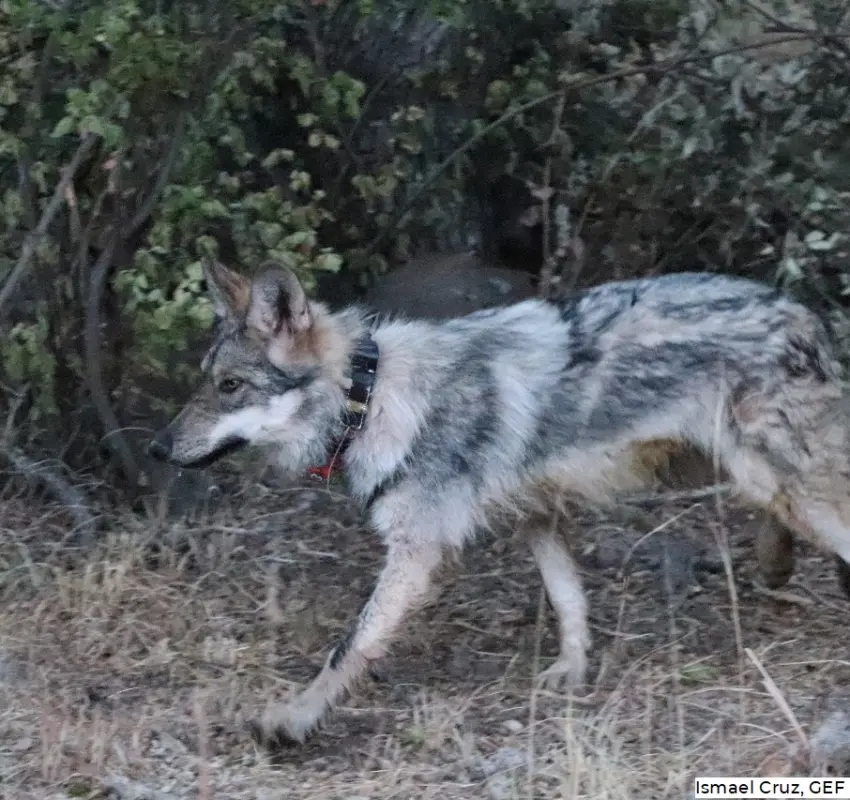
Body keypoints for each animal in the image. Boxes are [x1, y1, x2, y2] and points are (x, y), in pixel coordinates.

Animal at [149, 260, 850, 748]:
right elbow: (569, 600)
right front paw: (572, 673)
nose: (157, 447)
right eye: (204, 383)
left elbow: (350, 645)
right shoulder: (535, 517)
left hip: (768, 477)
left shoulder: (415, 552)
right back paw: (775, 564)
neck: (372, 395)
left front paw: (292, 720)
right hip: (734, 470)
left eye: (230, 386)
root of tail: (803, 311)